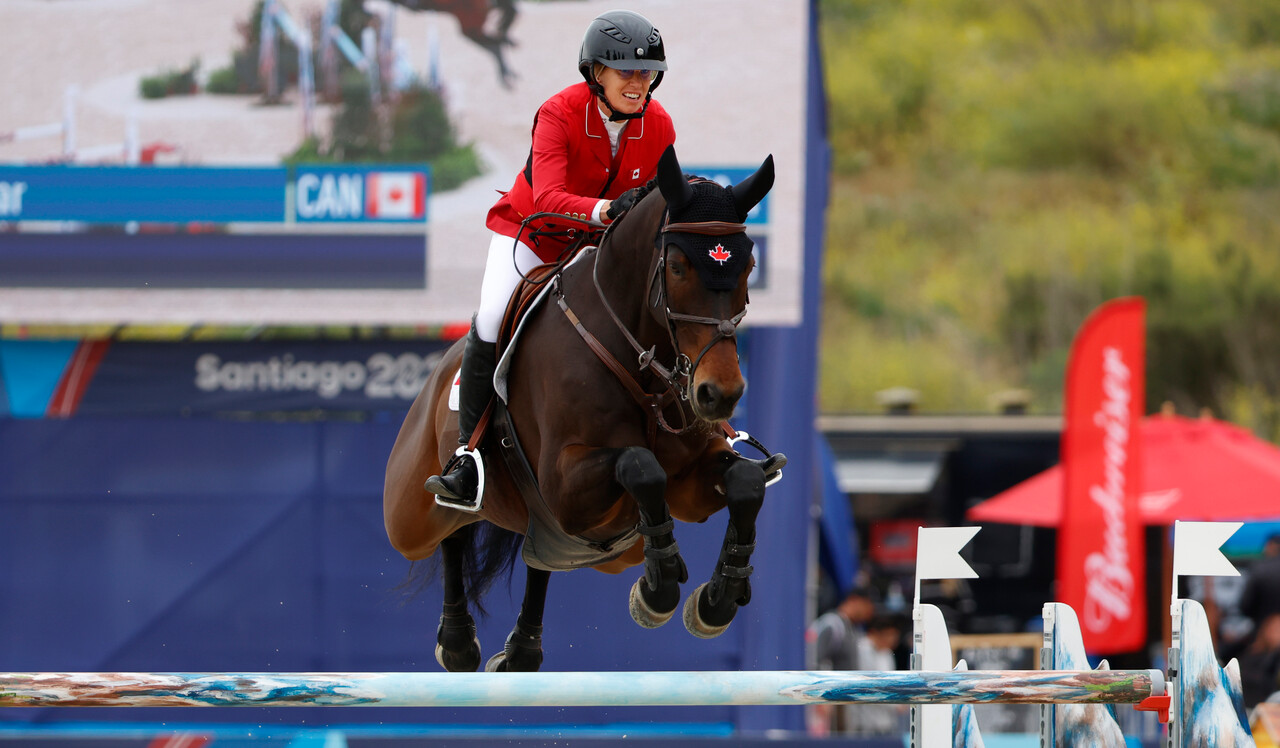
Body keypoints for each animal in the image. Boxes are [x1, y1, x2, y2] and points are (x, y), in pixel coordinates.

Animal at [381, 147, 778, 671]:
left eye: (748, 264)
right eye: (676, 266)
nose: (720, 394)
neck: (643, 364)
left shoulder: (687, 487)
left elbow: (746, 481)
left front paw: (716, 600)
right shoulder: (564, 483)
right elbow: (640, 465)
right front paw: (659, 589)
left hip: (600, 550)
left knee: (542, 559)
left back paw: (520, 652)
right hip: (409, 517)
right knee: (452, 529)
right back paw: (459, 641)